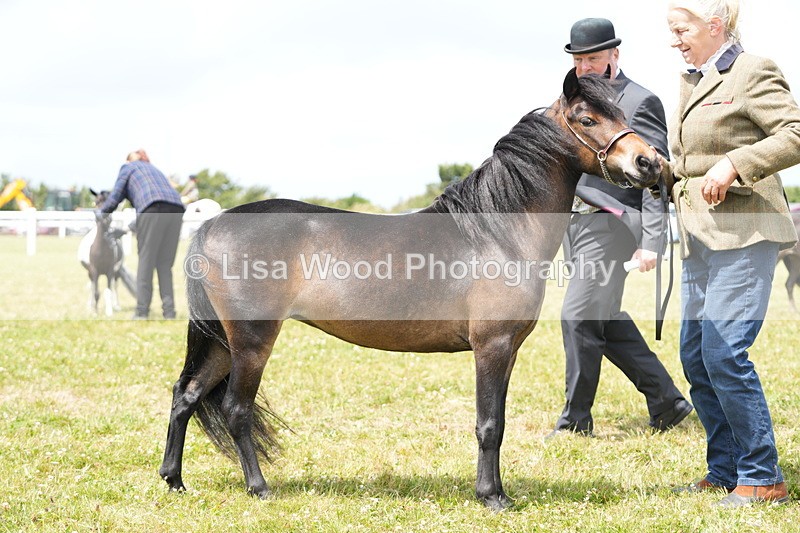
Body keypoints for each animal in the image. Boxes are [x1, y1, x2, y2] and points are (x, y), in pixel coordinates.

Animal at [159, 69, 662, 511]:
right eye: (586, 119)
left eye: (621, 114)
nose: (650, 162)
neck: (497, 231)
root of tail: (212, 225)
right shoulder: (492, 346)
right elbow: (489, 424)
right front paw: (492, 497)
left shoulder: (509, 349)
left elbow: (496, 422)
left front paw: (498, 491)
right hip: (251, 339)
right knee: (235, 409)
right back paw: (259, 488)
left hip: (224, 341)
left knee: (186, 395)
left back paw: (174, 481)